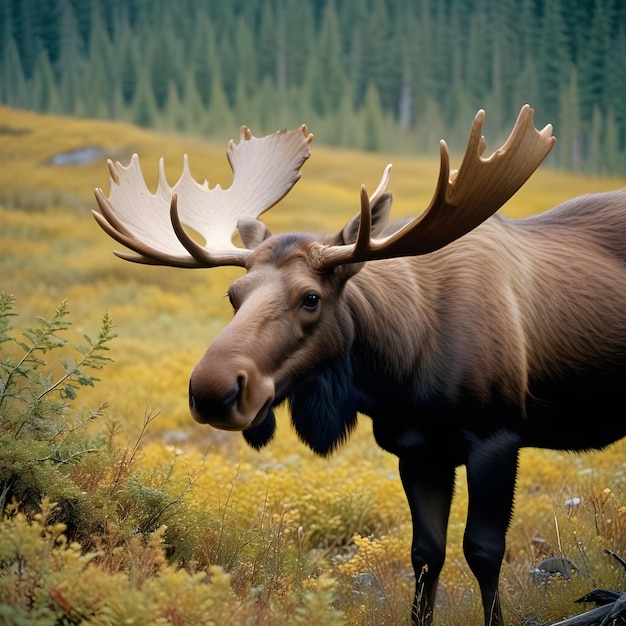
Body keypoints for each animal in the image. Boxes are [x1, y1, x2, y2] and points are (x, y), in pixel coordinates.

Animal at [92, 105, 624, 620]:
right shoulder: (418, 450)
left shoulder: (497, 437)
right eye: (233, 294)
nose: (211, 389)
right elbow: (426, 555)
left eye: (311, 297)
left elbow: (483, 551)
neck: (399, 371)